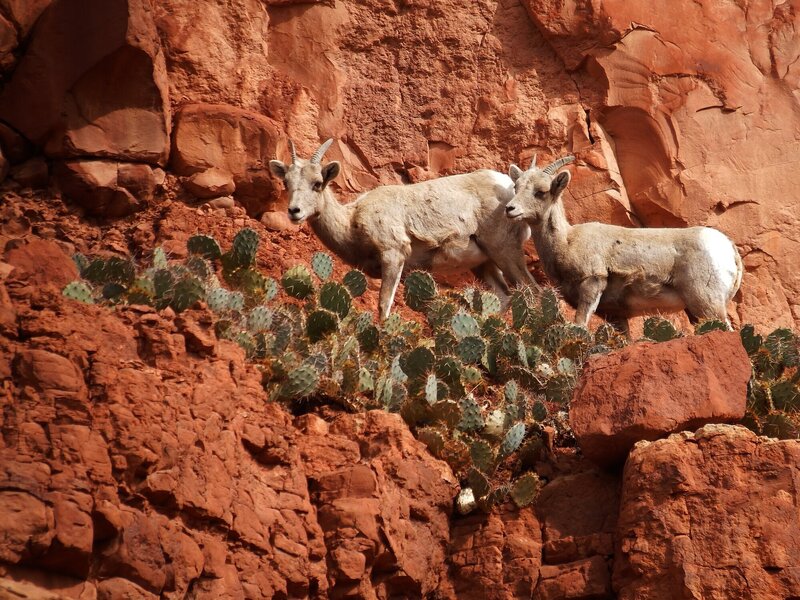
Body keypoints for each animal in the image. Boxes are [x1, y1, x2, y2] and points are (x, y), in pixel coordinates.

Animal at [268, 139, 536, 318]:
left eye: (317, 183)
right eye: (286, 183)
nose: (294, 212)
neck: (352, 222)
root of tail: (510, 187)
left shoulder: (394, 254)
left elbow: (384, 305)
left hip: (505, 251)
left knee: (531, 292)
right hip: (484, 264)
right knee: (504, 297)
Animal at [506, 155, 744, 336]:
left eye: (541, 192)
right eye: (516, 187)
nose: (510, 209)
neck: (566, 242)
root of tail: (729, 249)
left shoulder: (592, 285)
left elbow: (580, 325)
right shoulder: (616, 316)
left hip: (707, 304)